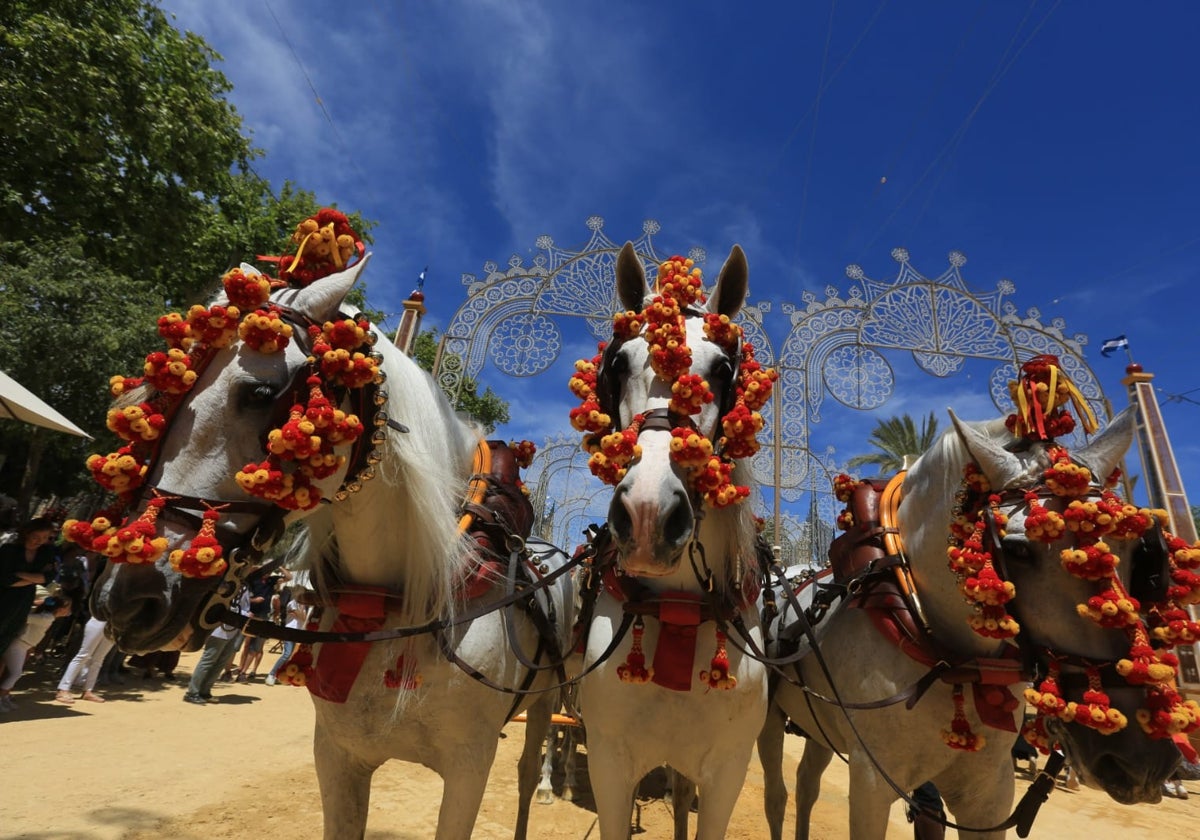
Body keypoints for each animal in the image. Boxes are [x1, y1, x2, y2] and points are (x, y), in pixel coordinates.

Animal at [90, 258, 576, 840]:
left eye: (260, 393)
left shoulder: (469, 769)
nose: (126, 599)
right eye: (167, 392)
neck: (395, 603)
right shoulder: (338, 755)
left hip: (546, 701)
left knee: (529, 769)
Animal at [578, 242, 768, 840]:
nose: (647, 516)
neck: (679, 606)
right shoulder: (609, 766)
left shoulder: (728, 773)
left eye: (724, 368)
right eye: (618, 363)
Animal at [763, 405, 1185, 835]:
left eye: (1137, 548)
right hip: (771, 719)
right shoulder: (871, 782)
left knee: (807, 784)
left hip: (822, 729)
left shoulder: (989, 794)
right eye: (1016, 550)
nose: (1143, 760)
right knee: (776, 794)